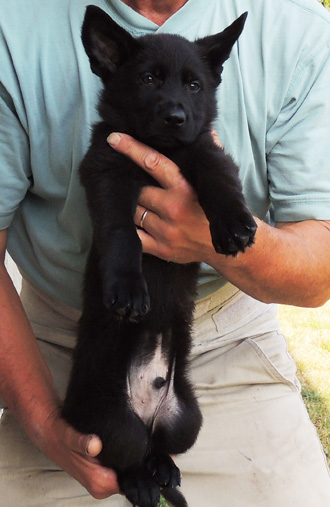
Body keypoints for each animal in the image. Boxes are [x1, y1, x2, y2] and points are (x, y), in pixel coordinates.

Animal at [62, 6, 258, 507]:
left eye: (194, 85)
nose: (175, 117)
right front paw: (129, 289)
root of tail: (147, 405)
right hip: (113, 422)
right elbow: (121, 233)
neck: (161, 150)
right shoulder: (107, 172)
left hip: (186, 420)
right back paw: (140, 482)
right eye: (148, 79)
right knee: (128, 452)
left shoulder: (203, 149)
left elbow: (219, 177)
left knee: (160, 444)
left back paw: (164, 470)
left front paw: (234, 224)